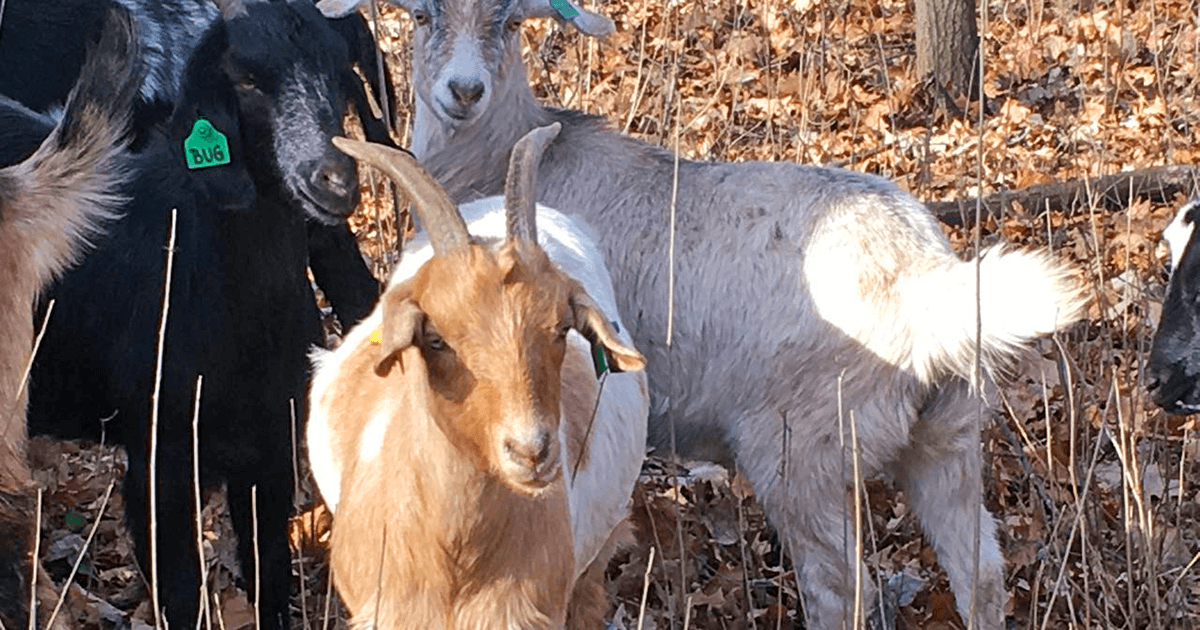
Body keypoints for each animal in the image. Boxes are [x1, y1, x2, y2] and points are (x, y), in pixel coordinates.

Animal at [25, 2, 362, 628]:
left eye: (341, 73)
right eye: (245, 79)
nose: (333, 181)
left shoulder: (272, 447)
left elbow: (269, 575)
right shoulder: (159, 460)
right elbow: (180, 592)